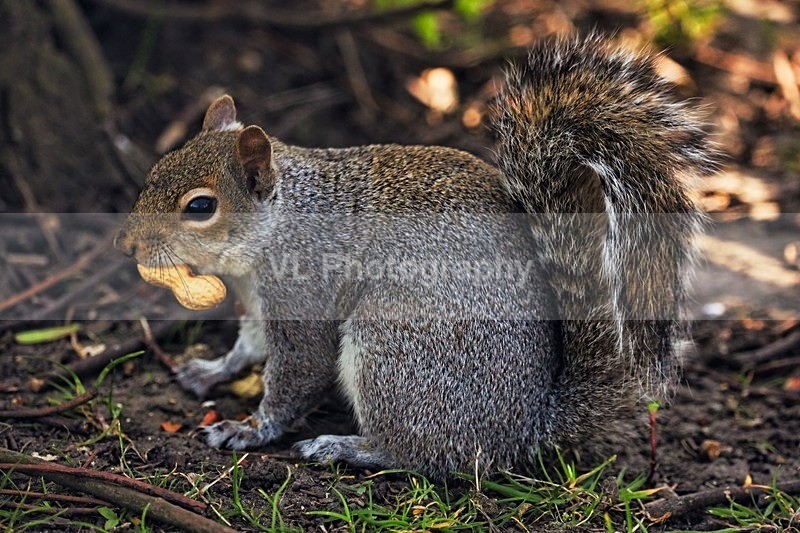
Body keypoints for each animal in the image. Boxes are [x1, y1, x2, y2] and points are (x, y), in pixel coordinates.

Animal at [115, 34, 713, 478]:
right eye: (157, 169)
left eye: (200, 206)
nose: (128, 245)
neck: (277, 225)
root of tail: (525, 427)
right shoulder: (261, 300)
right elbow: (250, 345)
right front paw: (212, 370)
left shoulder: (301, 289)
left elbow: (297, 370)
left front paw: (249, 428)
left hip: (394, 346)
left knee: (426, 455)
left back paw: (348, 447)